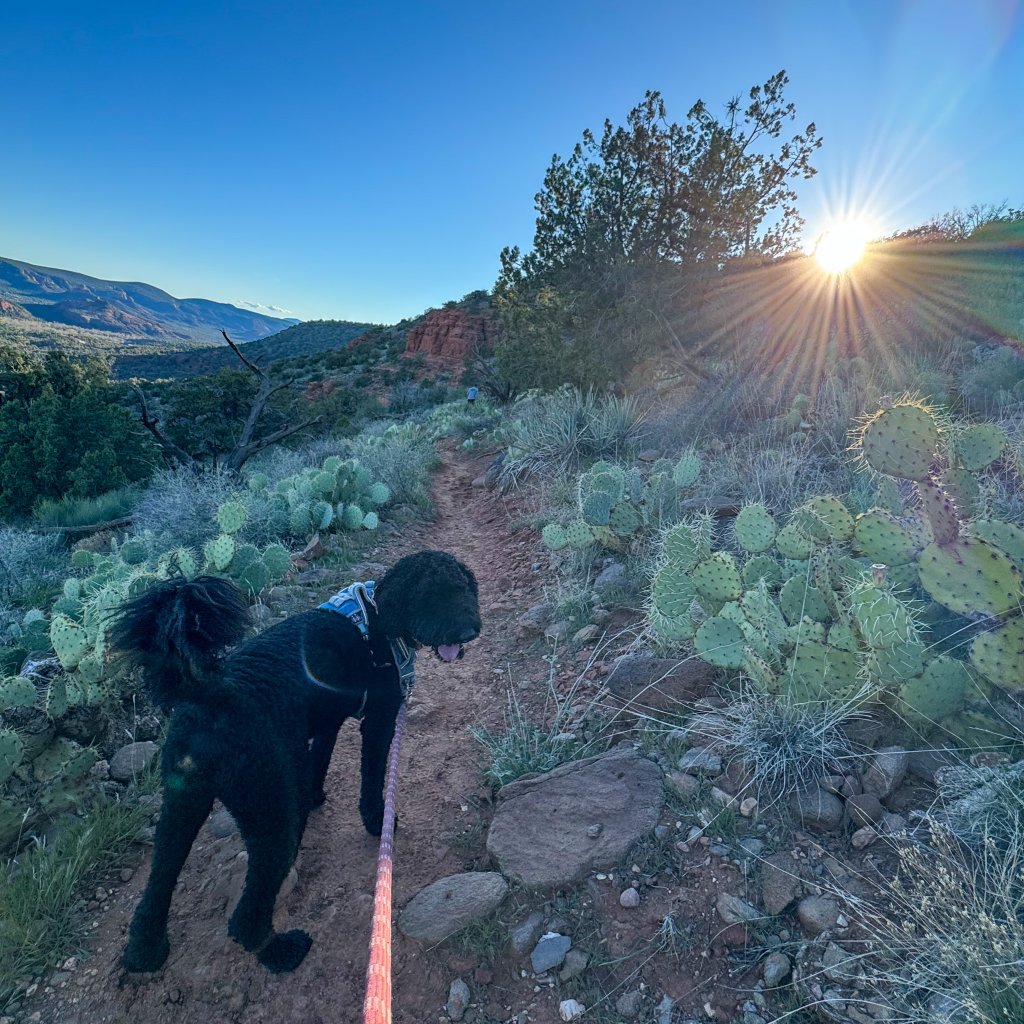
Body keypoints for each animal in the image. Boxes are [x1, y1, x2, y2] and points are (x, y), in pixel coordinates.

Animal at [112, 552, 479, 974]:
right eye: (431, 595)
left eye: (464, 589)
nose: (469, 630)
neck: (377, 617)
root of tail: (211, 696)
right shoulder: (380, 720)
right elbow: (372, 777)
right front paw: (377, 820)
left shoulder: (325, 724)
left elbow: (318, 764)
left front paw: (314, 796)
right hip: (269, 812)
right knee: (245, 916)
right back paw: (280, 951)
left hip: (181, 807)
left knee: (158, 883)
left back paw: (145, 951)